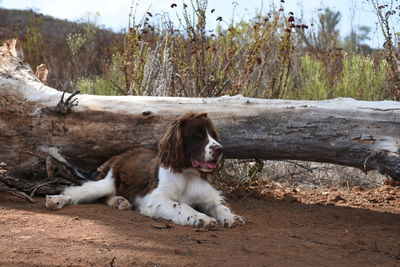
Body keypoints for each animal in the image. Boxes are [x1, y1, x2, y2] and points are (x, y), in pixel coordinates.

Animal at [44, 112, 244, 228]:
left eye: (213, 135)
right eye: (198, 135)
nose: (220, 149)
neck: (187, 174)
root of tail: (119, 155)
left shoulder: (209, 196)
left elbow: (220, 205)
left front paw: (231, 217)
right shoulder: (152, 199)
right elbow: (181, 205)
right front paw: (201, 218)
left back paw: (120, 201)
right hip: (107, 181)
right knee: (77, 192)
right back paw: (56, 200)